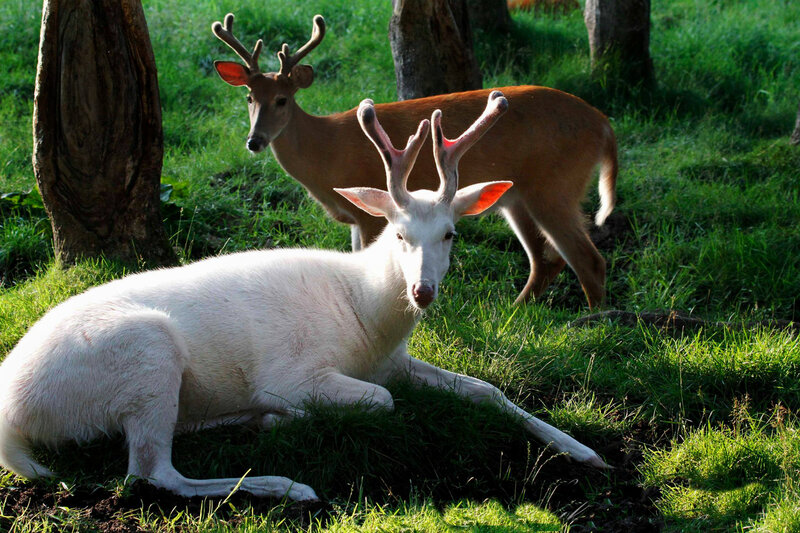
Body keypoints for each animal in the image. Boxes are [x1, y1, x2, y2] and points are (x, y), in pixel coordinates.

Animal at [0, 93, 607, 501]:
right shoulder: (294, 370)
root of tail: (15, 416)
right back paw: (287, 479)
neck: (367, 322)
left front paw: (584, 450)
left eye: (451, 234)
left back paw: (255, 424)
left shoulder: (396, 361)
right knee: (151, 471)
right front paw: (291, 416)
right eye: (399, 233)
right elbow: (381, 401)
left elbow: (486, 390)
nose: (423, 290)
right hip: (145, 353)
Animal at [212, 13, 619, 310]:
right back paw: (517, 310)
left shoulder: (369, 214)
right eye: (249, 97)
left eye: (282, 99)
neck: (324, 151)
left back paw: (595, 321)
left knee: (588, 259)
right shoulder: (358, 218)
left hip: (555, 185)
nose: (254, 141)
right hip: (518, 196)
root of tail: (604, 125)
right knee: (546, 260)